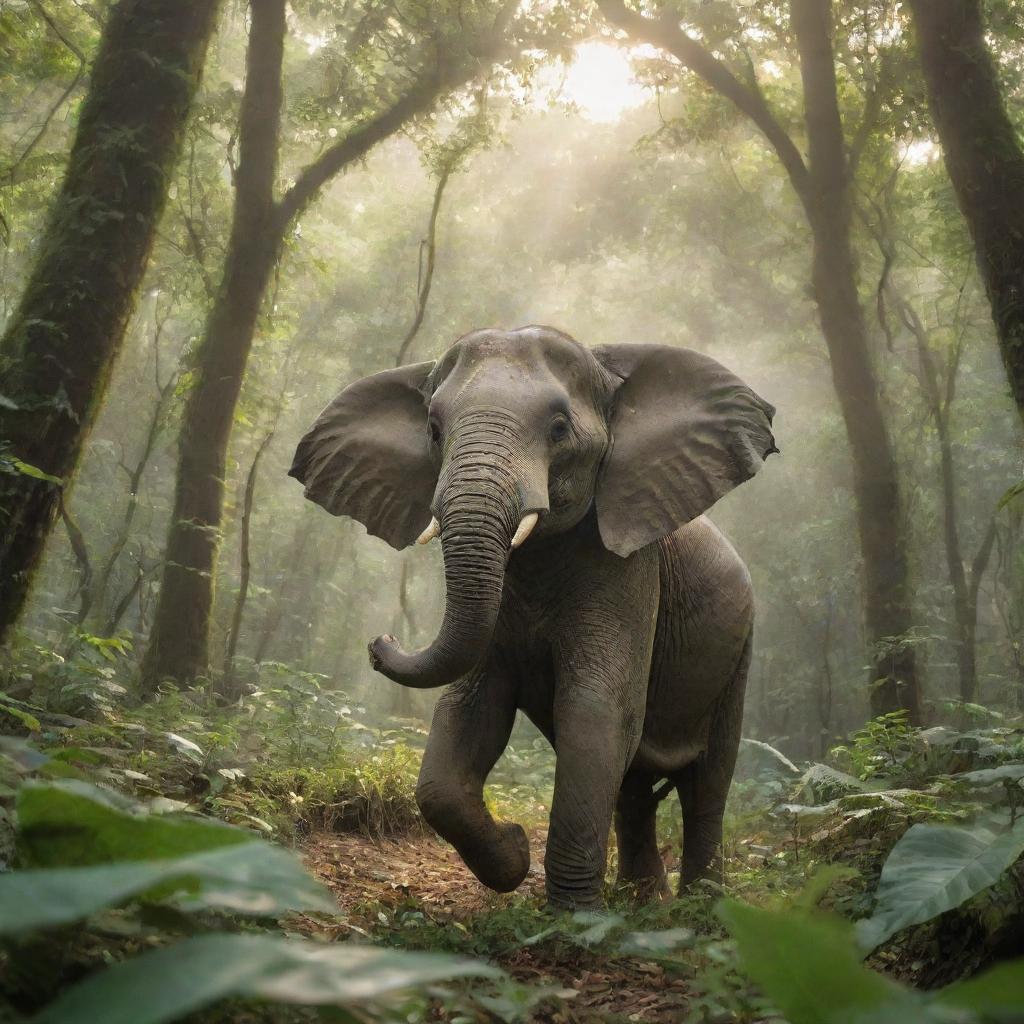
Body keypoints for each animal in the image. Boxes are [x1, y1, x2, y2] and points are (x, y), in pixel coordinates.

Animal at [290, 323, 774, 909]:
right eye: (433, 428)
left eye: (560, 428)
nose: (379, 642)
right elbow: (472, 710)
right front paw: (517, 853)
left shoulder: (631, 572)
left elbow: (595, 708)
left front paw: (574, 916)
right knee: (636, 784)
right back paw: (642, 902)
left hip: (740, 651)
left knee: (708, 781)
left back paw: (700, 906)